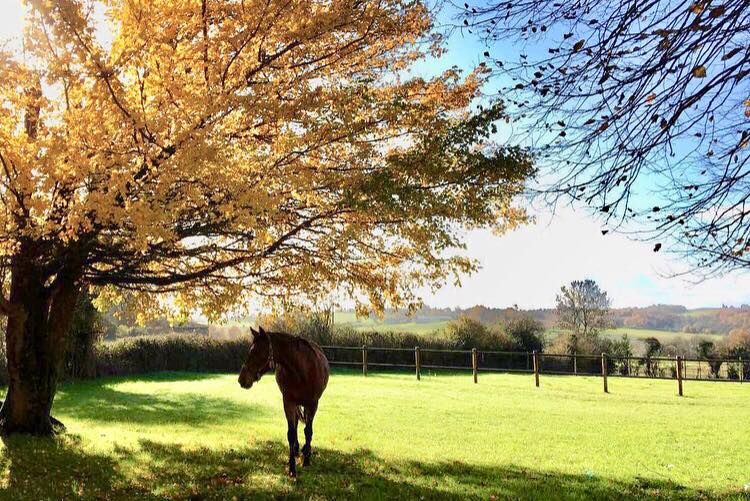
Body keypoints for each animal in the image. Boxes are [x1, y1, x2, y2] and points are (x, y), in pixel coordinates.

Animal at [238, 326, 326, 474]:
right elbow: (291, 433)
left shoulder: (313, 404)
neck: (302, 371)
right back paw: (296, 450)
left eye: (256, 352)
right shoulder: (288, 403)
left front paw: (306, 460)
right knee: (296, 424)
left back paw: (305, 450)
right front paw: (292, 468)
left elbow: (308, 430)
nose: (241, 380)